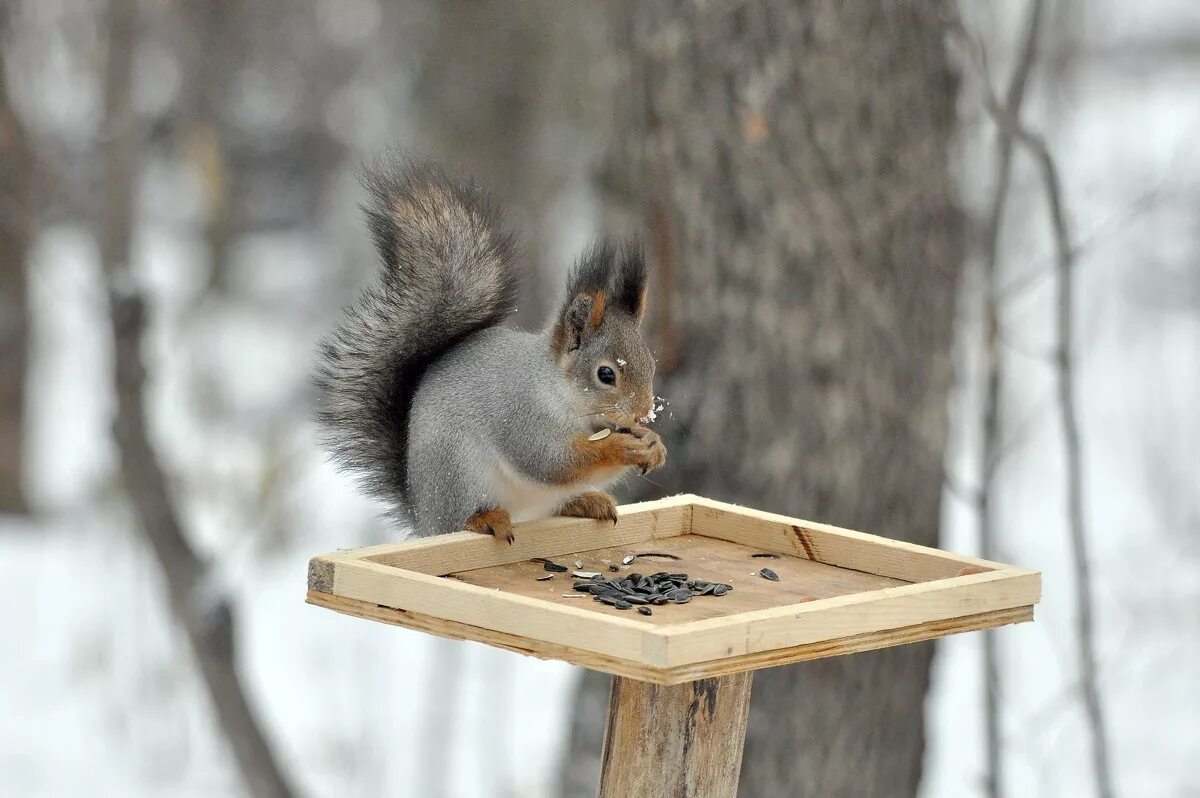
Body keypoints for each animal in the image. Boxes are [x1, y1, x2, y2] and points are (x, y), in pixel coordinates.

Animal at [314, 157, 667, 542]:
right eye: (606, 374)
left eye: (650, 365)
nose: (643, 414)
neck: (560, 394)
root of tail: (425, 519)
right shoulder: (521, 418)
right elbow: (554, 462)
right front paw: (622, 446)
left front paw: (654, 443)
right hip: (459, 475)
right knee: (468, 515)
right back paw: (485, 519)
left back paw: (587, 501)